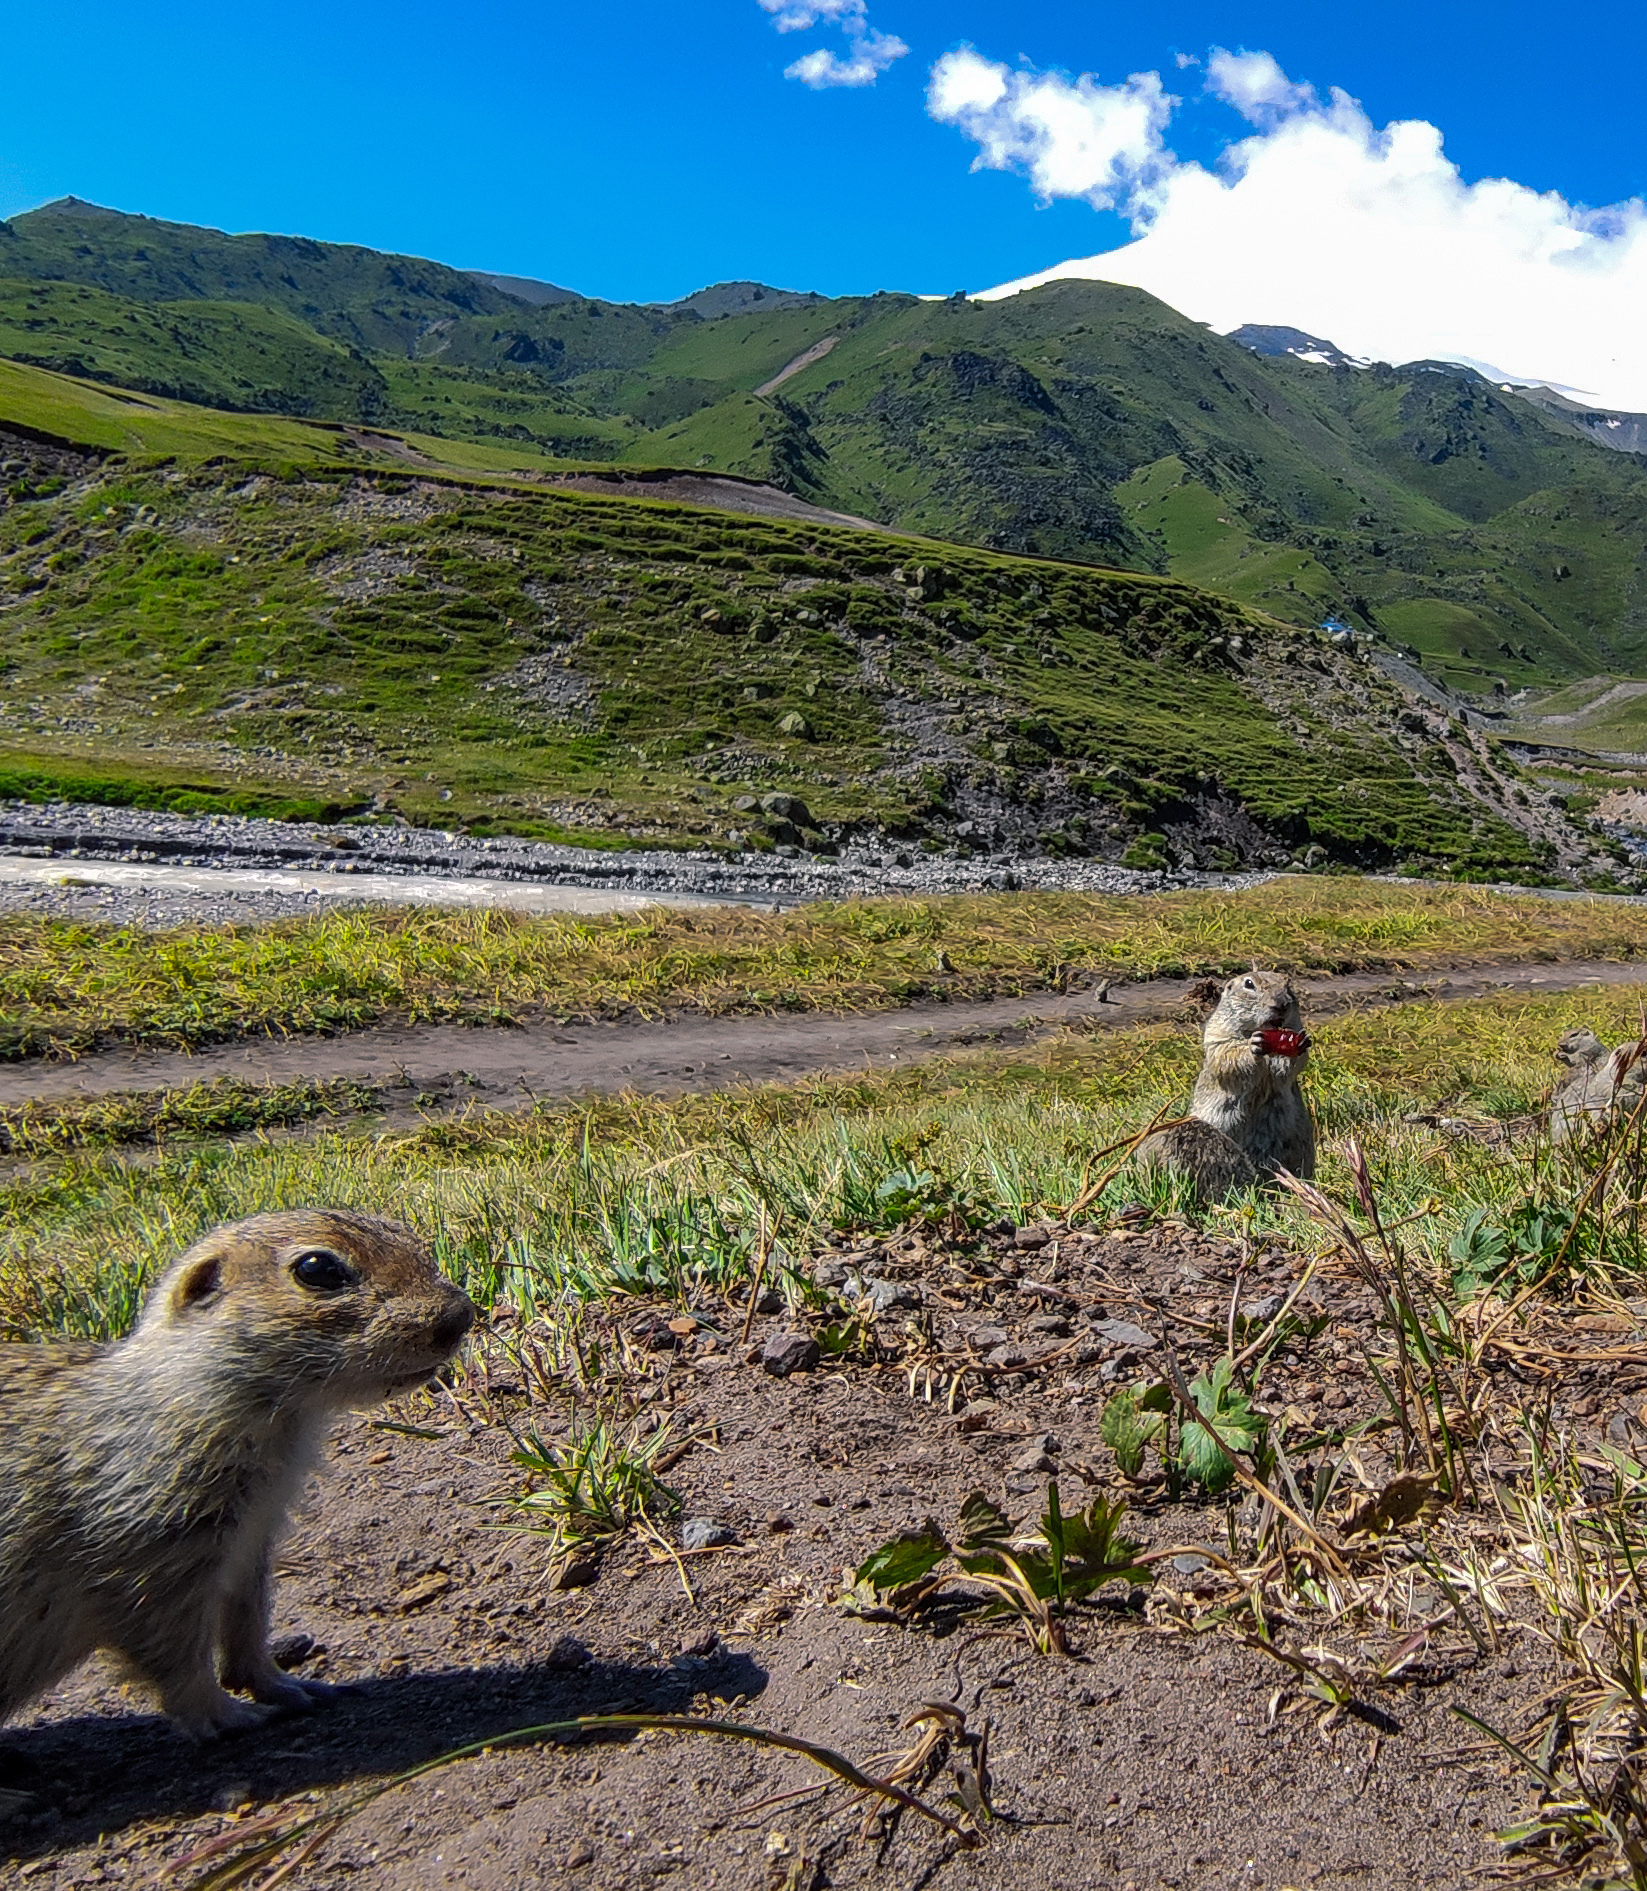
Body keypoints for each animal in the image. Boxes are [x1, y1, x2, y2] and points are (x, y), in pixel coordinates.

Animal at [1, 1210, 476, 1739]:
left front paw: (290, 1686)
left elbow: (247, 1623)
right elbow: (175, 1657)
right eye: (317, 1268)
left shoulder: (252, 1540)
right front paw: (230, 1714)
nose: (462, 1315)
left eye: (408, 1234)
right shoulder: (150, 1552)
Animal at [1142, 975, 1323, 1195]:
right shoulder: (1218, 1034)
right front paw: (1253, 1046)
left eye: (1288, 985)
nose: (1281, 1004)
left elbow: (1287, 1068)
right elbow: (1228, 1055)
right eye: (1249, 984)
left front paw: (1301, 1043)